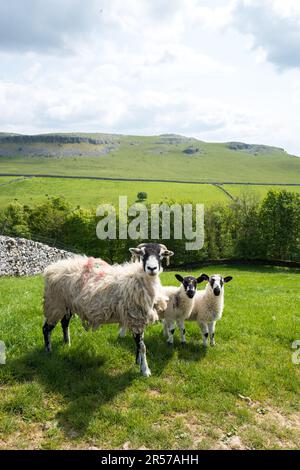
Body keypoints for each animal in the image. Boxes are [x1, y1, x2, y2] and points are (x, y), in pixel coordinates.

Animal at [42, 244, 173, 376]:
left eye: (161, 255)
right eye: (142, 253)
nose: (152, 268)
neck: (139, 278)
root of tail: (53, 267)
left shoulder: (138, 318)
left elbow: (138, 344)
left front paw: (138, 362)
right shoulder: (136, 317)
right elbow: (142, 347)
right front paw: (145, 370)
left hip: (66, 306)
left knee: (64, 323)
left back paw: (67, 343)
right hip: (54, 304)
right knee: (46, 328)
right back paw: (48, 352)